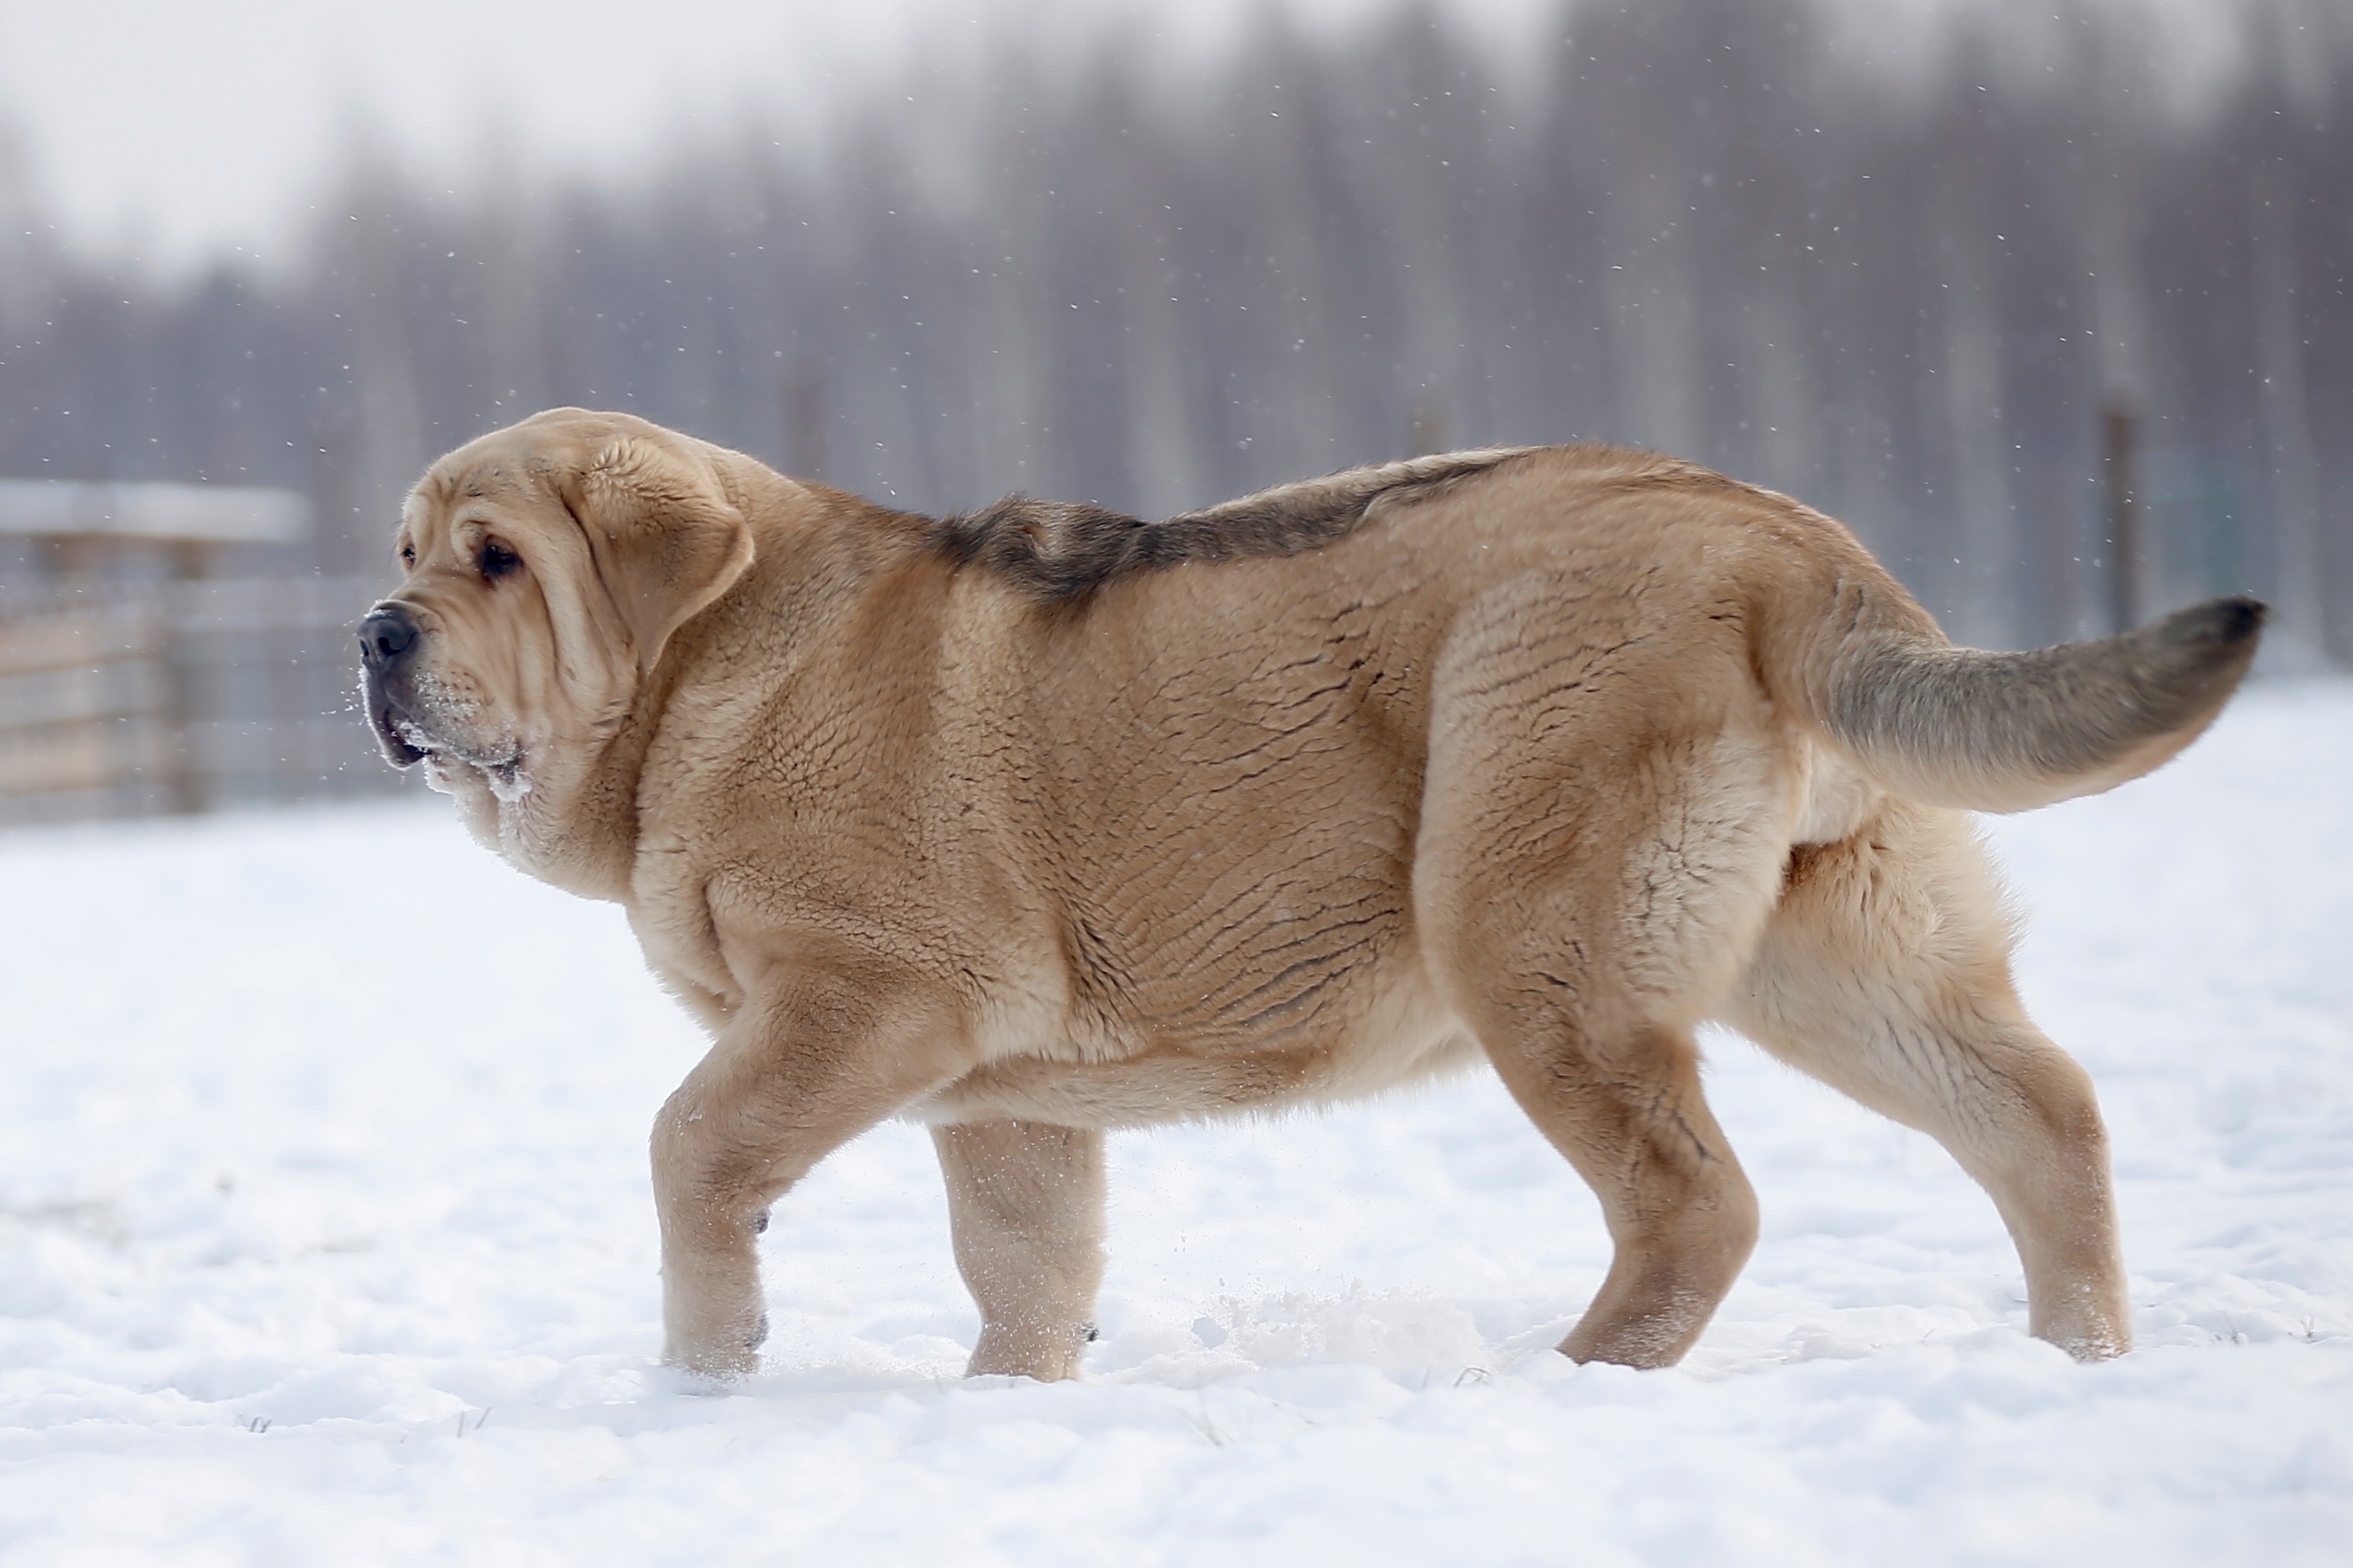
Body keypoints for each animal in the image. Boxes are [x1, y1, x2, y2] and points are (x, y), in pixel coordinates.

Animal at [353, 411, 2259, 1382]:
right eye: (406, 554)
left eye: (497, 560)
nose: (374, 632)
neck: (712, 664)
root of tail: (1787, 542)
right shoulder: (1004, 1096)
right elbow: (1025, 1266)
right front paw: (1009, 1404)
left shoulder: (863, 995)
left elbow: (691, 1146)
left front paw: (709, 1364)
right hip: (1836, 946)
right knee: (2038, 1115)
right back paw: (2080, 1353)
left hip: (1535, 941)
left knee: (1693, 1201)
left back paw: (1576, 1370)